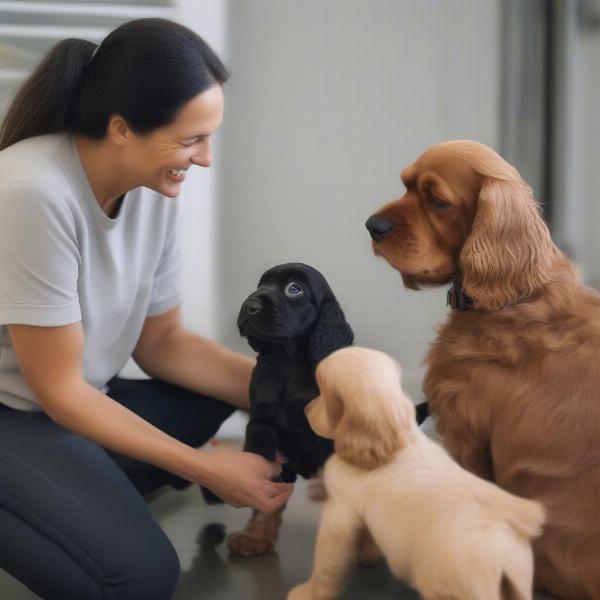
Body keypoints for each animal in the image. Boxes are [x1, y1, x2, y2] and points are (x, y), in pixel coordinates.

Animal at [227, 264, 354, 556]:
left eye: (294, 289)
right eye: (260, 284)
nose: (250, 305)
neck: (288, 363)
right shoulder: (263, 424)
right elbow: (266, 489)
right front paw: (255, 535)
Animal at [288, 346, 548, 600]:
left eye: (323, 392)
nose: (306, 409)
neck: (399, 434)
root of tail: (501, 554)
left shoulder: (338, 512)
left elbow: (326, 561)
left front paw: (308, 593)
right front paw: (369, 557)